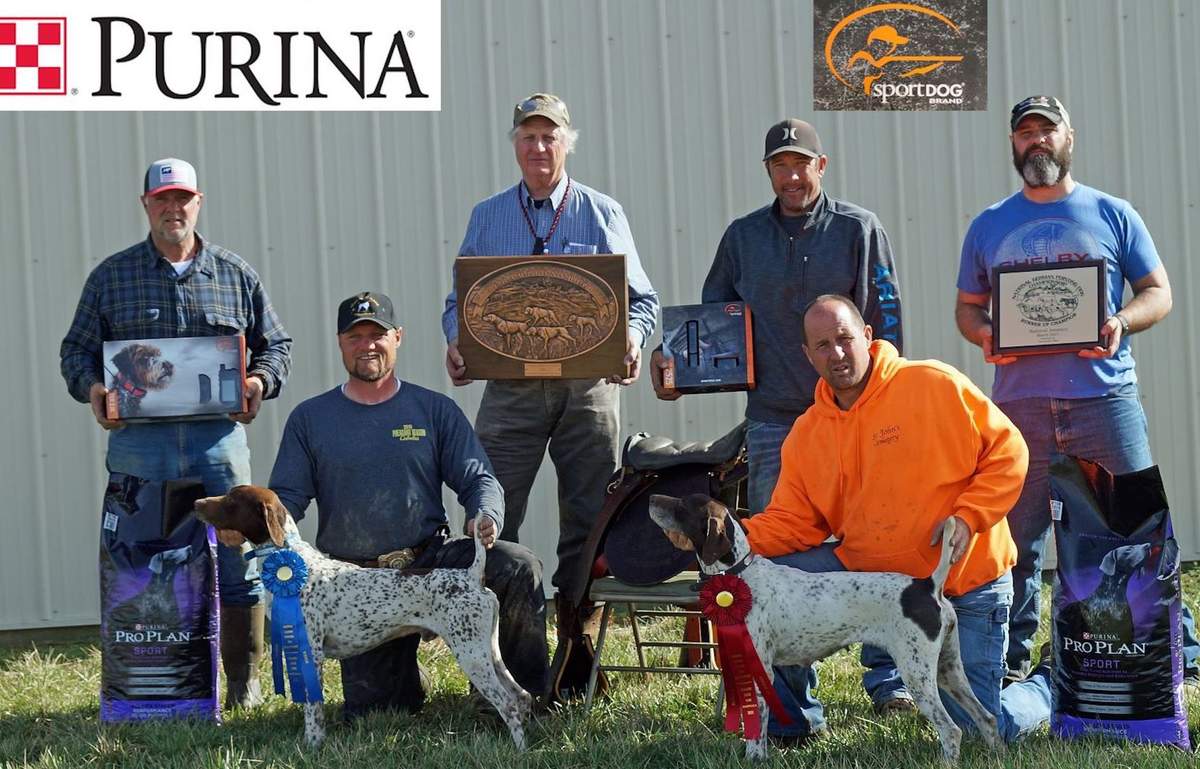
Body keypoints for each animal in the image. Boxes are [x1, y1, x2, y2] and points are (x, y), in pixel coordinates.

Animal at [194, 484, 532, 743]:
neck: (291, 564)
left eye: (231, 500)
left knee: (508, 703)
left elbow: (313, 710)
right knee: (522, 696)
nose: (197, 502)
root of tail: (471, 576)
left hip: (470, 653)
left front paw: (313, 745)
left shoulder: (311, 654)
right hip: (489, 652)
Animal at [648, 491, 1003, 763]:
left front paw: (755, 759)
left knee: (951, 730)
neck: (739, 578)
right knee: (987, 717)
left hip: (918, 674)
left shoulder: (760, 667)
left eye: (682, 506)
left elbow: (757, 726)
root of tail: (928, 586)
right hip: (948, 670)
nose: (651, 498)